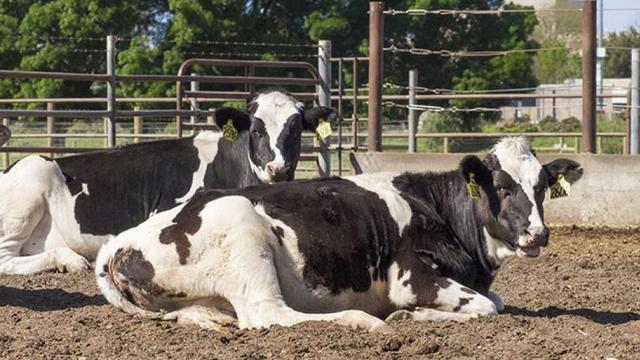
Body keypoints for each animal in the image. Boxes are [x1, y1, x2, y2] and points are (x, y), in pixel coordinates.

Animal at [95, 137, 580, 332]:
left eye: (542, 187)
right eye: (502, 187)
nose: (538, 235)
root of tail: (119, 242)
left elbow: (495, 301)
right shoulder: (410, 276)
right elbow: (486, 306)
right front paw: (409, 317)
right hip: (245, 237)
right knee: (270, 315)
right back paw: (362, 321)